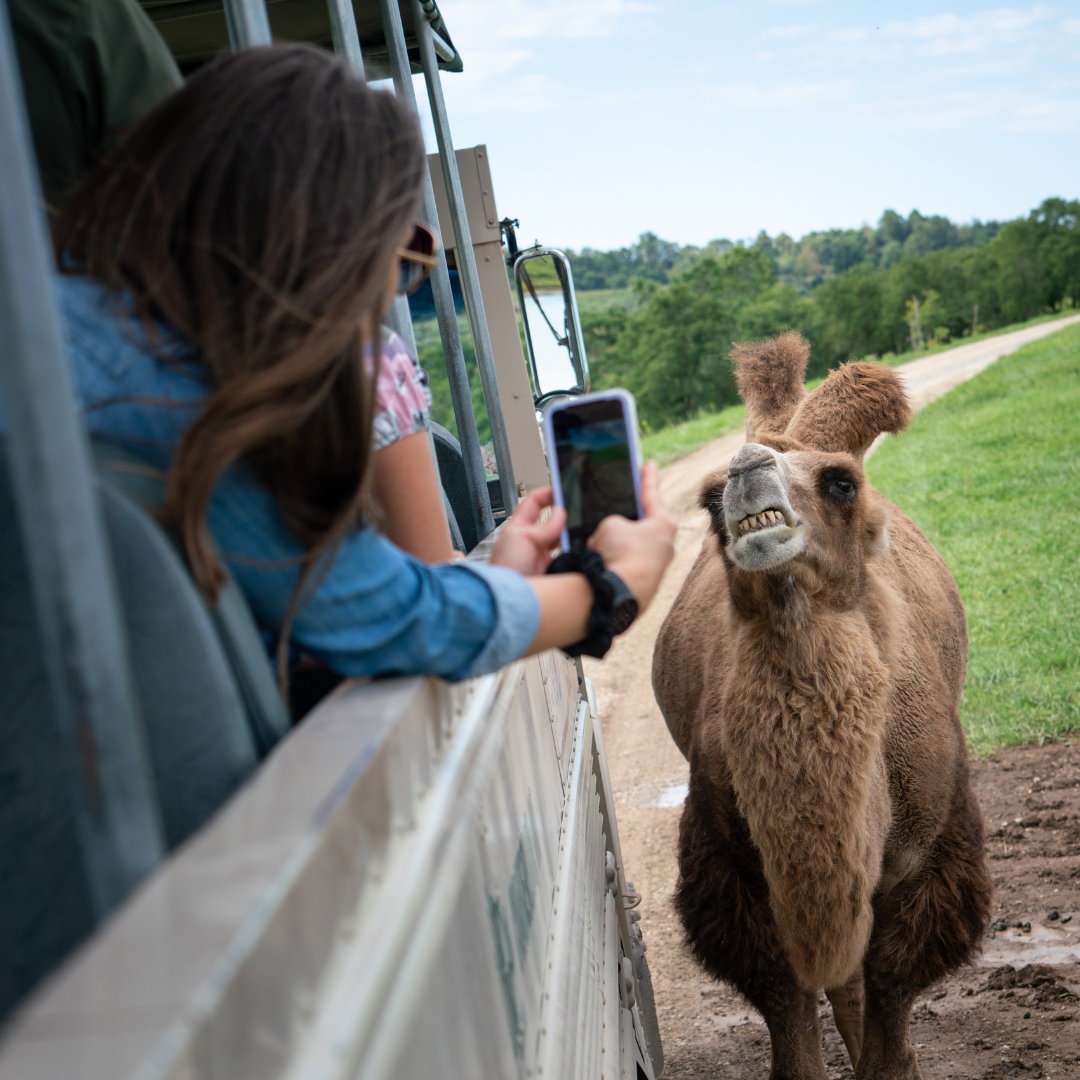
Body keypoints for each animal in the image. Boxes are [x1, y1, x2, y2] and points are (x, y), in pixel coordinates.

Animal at [652, 332, 989, 1080]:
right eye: (710, 500)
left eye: (841, 482)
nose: (746, 468)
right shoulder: (735, 866)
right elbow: (785, 989)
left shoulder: (928, 855)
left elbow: (892, 975)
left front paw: (895, 1063)